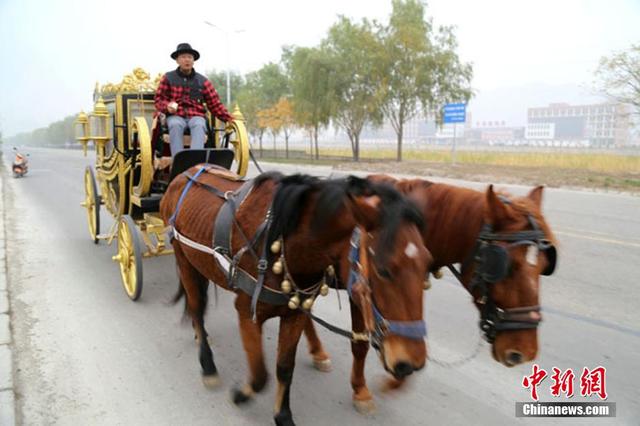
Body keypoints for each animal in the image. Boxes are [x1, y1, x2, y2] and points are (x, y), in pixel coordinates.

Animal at [159, 170, 430, 426]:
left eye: (427, 265)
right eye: (383, 270)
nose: (412, 362)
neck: (281, 240)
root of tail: (184, 175)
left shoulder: (296, 313)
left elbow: (285, 368)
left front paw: (283, 415)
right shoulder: (246, 311)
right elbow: (260, 375)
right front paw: (241, 394)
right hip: (183, 259)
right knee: (197, 308)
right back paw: (207, 364)